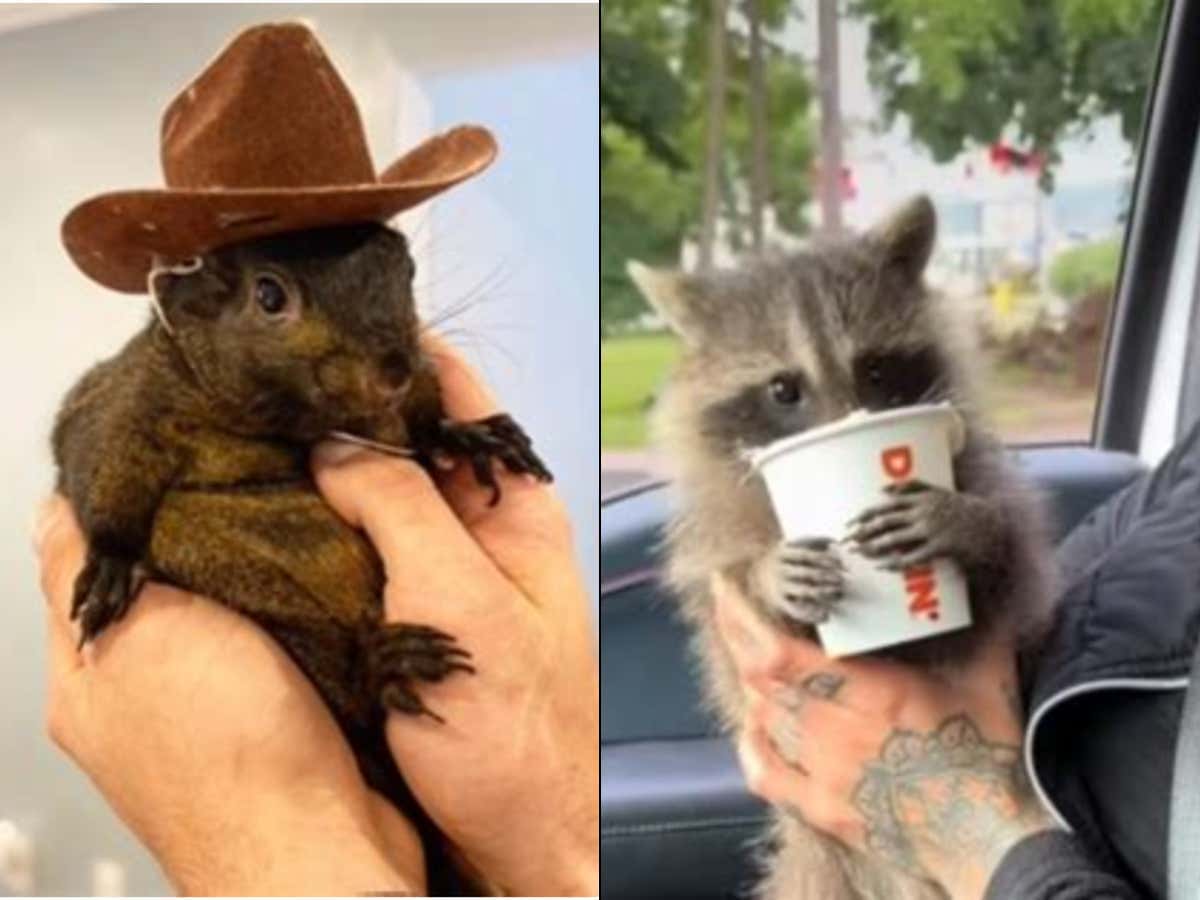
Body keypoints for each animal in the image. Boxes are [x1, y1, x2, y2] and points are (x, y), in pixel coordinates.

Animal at [629, 196, 1056, 900]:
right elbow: (731, 602)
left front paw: (966, 523)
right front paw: (768, 575)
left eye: (876, 368)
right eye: (783, 389)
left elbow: (1017, 565)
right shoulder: (711, 553)